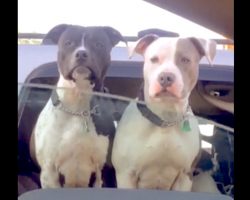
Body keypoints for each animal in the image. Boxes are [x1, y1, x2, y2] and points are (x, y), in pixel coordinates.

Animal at [30, 24, 126, 188]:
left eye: (98, 44)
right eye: (68, 43)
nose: (81, 53)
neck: (78, 106)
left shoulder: (103, 171)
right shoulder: (49, 173)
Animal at [112, 34, 217, 191]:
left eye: (185, 59)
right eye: (154, 59)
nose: (166, 77)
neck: (166, 118)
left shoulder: (185, 176)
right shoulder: (126, 173)